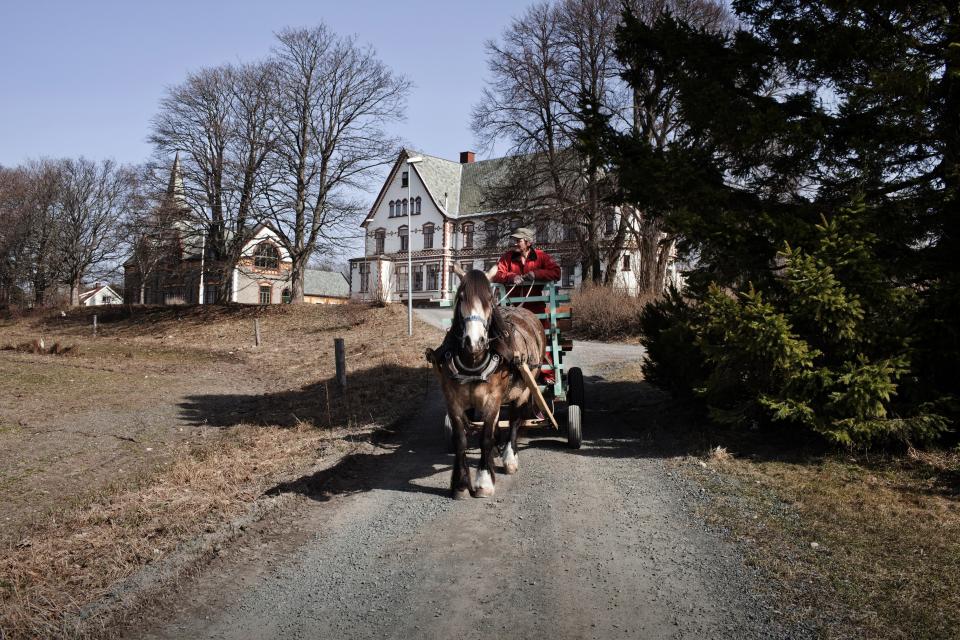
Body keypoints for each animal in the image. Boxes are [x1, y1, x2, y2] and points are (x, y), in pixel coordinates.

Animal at [428, 264, 548, 500]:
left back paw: (509, 458)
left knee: (514, 421)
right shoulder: (453, 401)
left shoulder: (493, 399)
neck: (474, 361)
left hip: (524, 389)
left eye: (489, 299)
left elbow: (485, 437)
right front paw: (461, 484)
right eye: (461, 297)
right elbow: (461, 439)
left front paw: (483, 482)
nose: (474, 341)